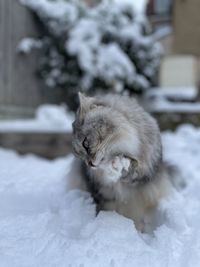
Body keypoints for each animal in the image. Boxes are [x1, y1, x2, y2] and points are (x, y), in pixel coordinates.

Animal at [71, 93, 173, 231]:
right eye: (80, 157)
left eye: (85, 144)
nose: (90, 164)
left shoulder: (143, 171)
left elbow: (131, 168)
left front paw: (117, 164)